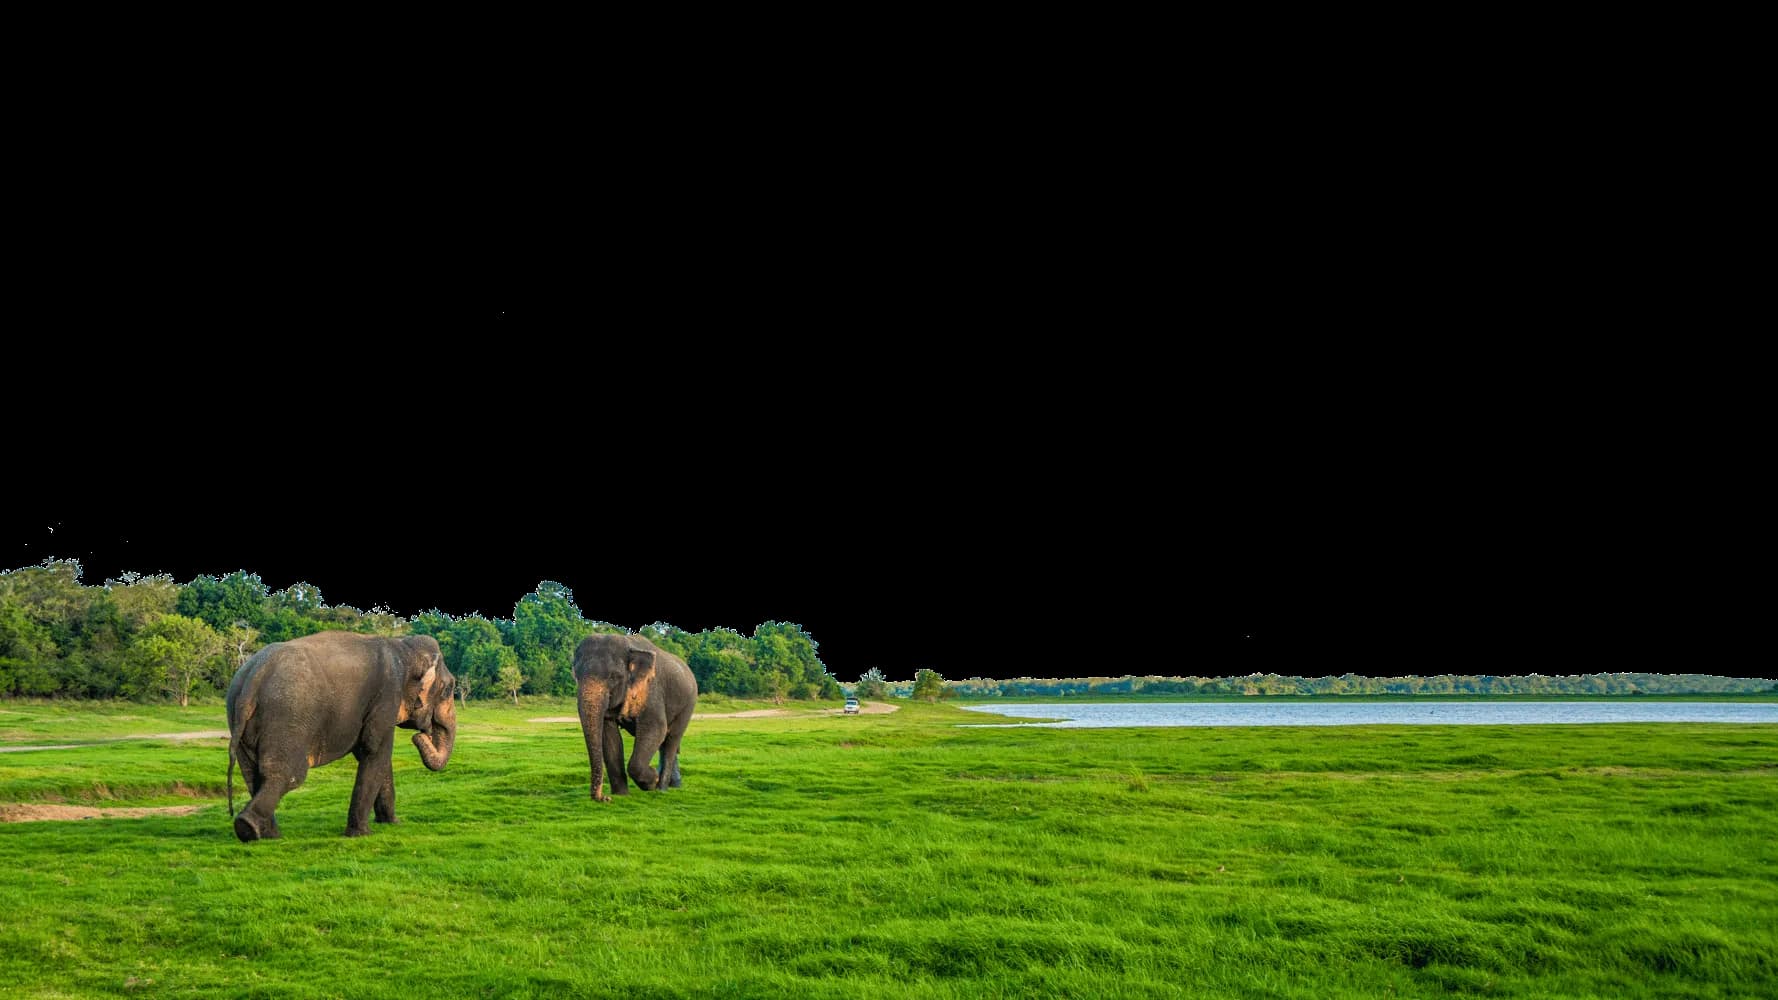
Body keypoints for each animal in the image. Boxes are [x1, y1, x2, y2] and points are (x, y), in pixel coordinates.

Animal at [225, 631, 456, 841]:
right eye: (448, 689)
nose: (420, 736)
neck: (403, 646)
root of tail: (255, 674)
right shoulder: (387, 697)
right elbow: (375, 750)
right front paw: (361, 834)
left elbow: (376, 757)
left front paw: (392, 823)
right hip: (287, 717)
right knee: (288, 774)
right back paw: (249, 828)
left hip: (238, 717)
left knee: (252, 774)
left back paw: (268, 835)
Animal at [573, 634, 696, 801]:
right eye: (576, 676)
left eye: (613, 677)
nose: (605, 798)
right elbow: (609, 736)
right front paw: (621, 795)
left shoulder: (651, 690)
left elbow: (656, 728)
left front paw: (652, 781)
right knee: (664, 743)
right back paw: (674, 785)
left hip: (688, 705)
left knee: (672, 739)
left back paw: (662, 788)